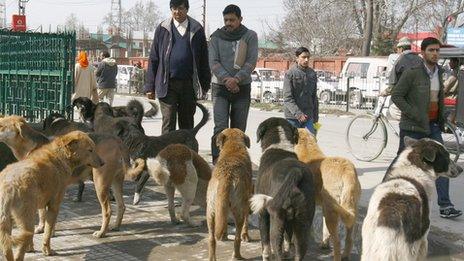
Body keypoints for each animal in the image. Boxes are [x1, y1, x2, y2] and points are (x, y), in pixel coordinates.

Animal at [0, 116, 145, 238]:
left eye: (2, 125)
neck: (31, 146)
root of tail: (117, 140)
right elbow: (42, 213)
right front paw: (41, 228)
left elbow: (47, 216)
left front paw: (50, 232)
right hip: (116, 182)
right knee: (121, 206)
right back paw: (115, 226)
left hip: (100, 184)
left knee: (108, 211)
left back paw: (101, 233)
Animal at [205, 128, 252, 260]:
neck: (233, 147)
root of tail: (226, 177)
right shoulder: (246, 200)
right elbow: (247, 221)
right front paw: (246, 235)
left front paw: (224, 235)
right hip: (238, 210)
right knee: (237, 238)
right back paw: (237, 255)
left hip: (210, 211)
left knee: (212, 239)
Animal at [250, 117, 316, 260]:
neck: (280, 145)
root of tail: (296, 172)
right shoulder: (290, 221)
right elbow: (288, 237)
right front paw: (288, 251)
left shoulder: (263, 213)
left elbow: (265, 242)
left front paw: (266, 256)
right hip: (303, 222)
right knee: (299, 251)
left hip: (277, 221)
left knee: (276, 248)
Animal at [294, 128, 362, 260]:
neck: (307, 148)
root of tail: (347, 171)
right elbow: (324, 229)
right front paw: (324, 243)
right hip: (348, 208)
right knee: (349, 238)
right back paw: (345, 255)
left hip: (333, 209)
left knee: (337, 242)